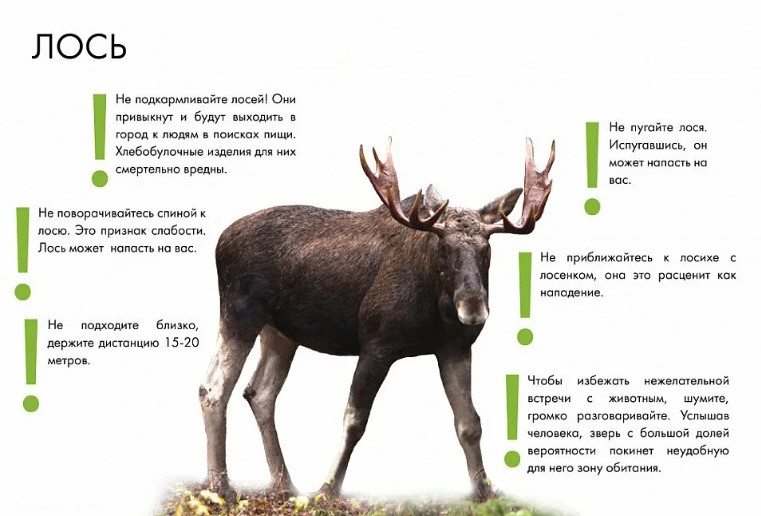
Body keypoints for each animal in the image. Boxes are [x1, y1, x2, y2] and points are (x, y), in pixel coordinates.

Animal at [199, 137, 555, 501]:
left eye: (487, 248)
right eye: (443, 247)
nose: (473, 308)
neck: (436, 308)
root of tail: (219, 240)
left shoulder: (454, 348)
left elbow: (470, 423)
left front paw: (484, 491)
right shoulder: (376, 344)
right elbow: (354, 420)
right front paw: (327, 489)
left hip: (280, 332)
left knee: (259, 393)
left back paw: (284, 484)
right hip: (239, 315)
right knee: (213, 388)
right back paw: (220, 486)